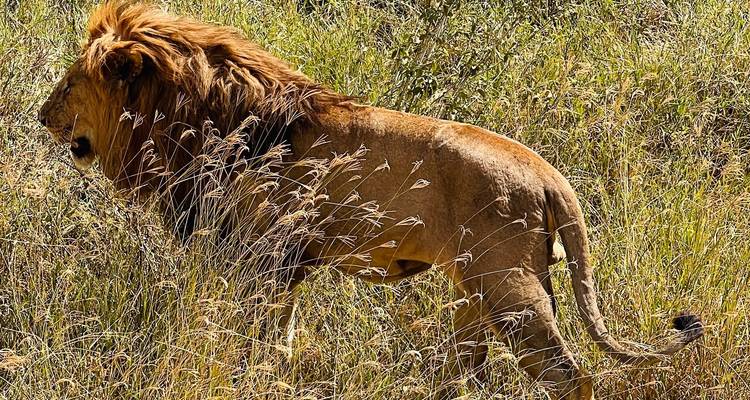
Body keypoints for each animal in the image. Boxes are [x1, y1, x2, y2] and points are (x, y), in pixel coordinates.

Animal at [38, 3, 703, 399]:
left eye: (69, 83)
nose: (40, 116)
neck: (202, 119)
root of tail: (549, 175)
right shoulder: (284, 264)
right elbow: (279, 340)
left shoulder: (265, 259)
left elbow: (258, 337)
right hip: (475, 293)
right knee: (472, 371)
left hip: (511, 289)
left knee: (572, 377)